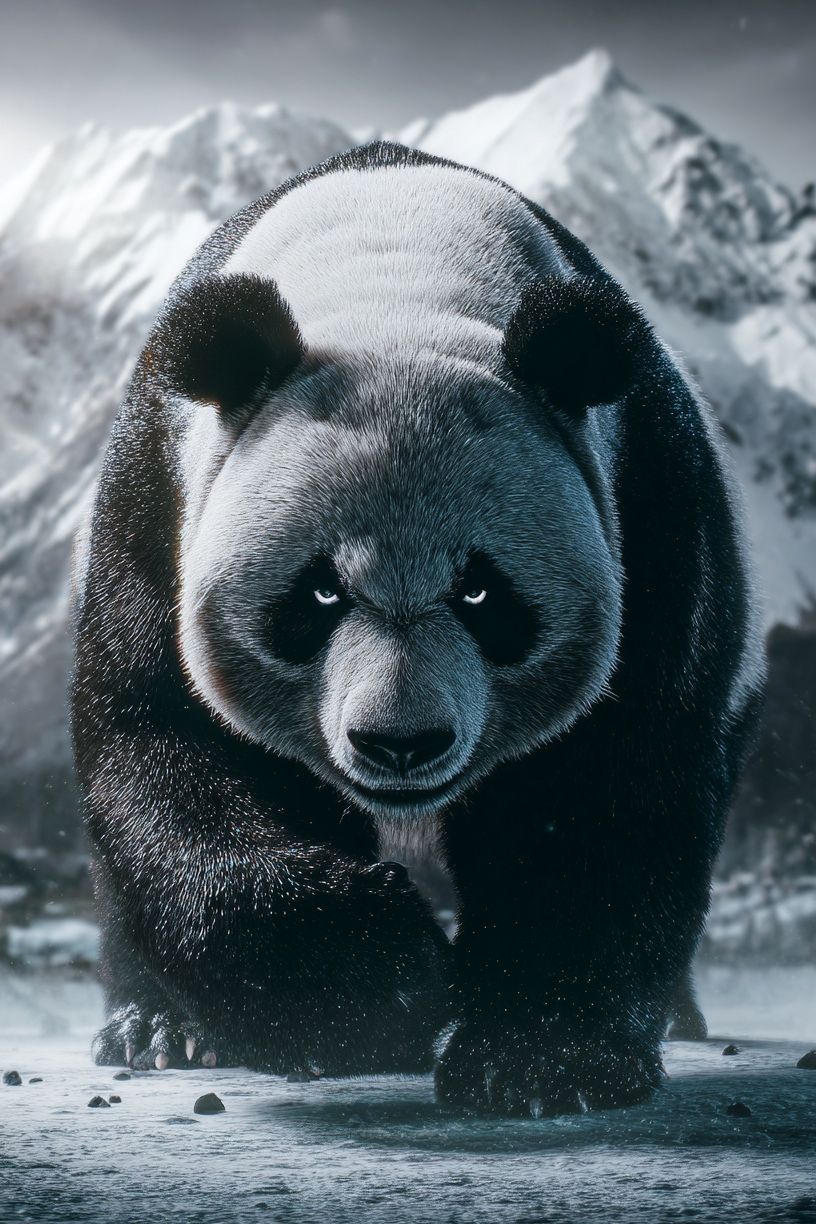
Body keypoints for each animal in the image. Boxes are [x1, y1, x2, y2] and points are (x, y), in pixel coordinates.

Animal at [71, 140, 764, 1115]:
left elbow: (611, 782)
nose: (401, 743)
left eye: (482, 594)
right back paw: (156, 1028)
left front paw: (541, 1058)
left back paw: (675, 1015)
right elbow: (170, 751)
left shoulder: (645, 499)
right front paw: (376, 988)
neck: (393, 280)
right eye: (319, 595)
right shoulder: (160, 497)